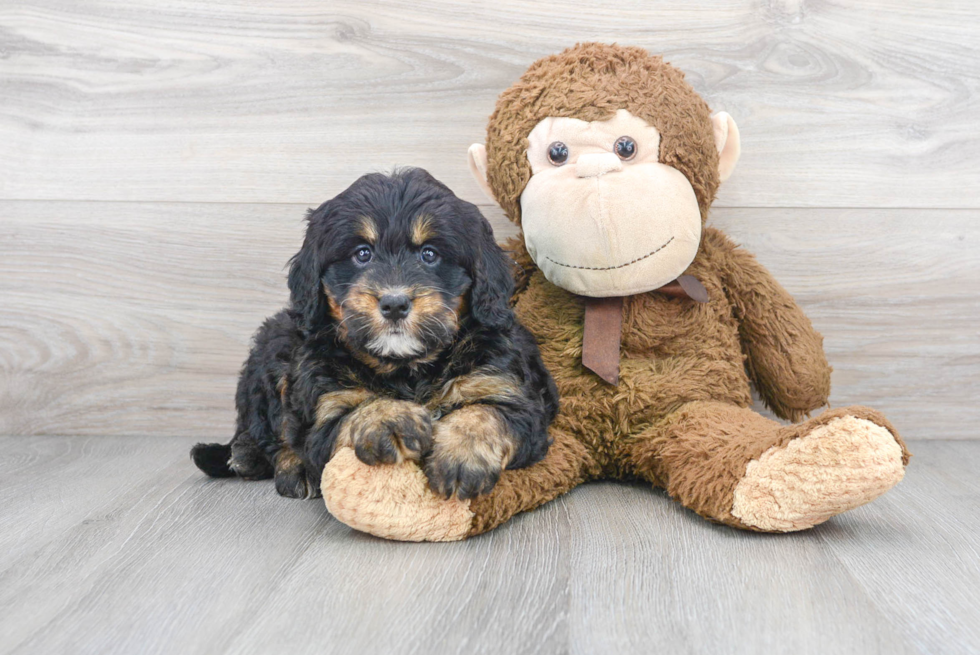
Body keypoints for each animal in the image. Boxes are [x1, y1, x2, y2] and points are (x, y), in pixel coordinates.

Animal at [191, 169, 560, 502]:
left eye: (429, 254)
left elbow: (485, 413)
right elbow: (349, 413)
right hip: (276, 348)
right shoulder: (324, 404)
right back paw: (268, 462)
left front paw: (461, 455)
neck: (406, 367)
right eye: (362, 253)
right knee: (266, 430)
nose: (394, 303)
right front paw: (390, 418)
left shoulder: (510, 391)